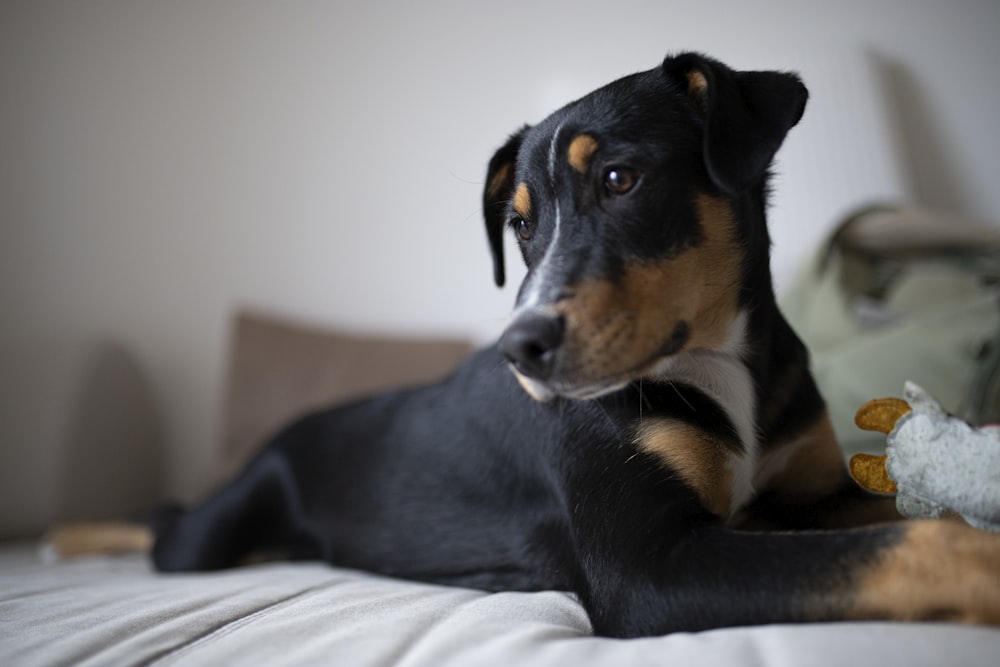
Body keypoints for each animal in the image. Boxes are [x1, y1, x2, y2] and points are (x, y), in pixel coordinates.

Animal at [143, 51, 1000, 636]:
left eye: (620, 179)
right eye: (520, 224)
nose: (518, 349)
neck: (720, 363)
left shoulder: (810, 491)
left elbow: (907, 522)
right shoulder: (646, 567)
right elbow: (906, 545)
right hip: (211, 533)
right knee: (163, 527)